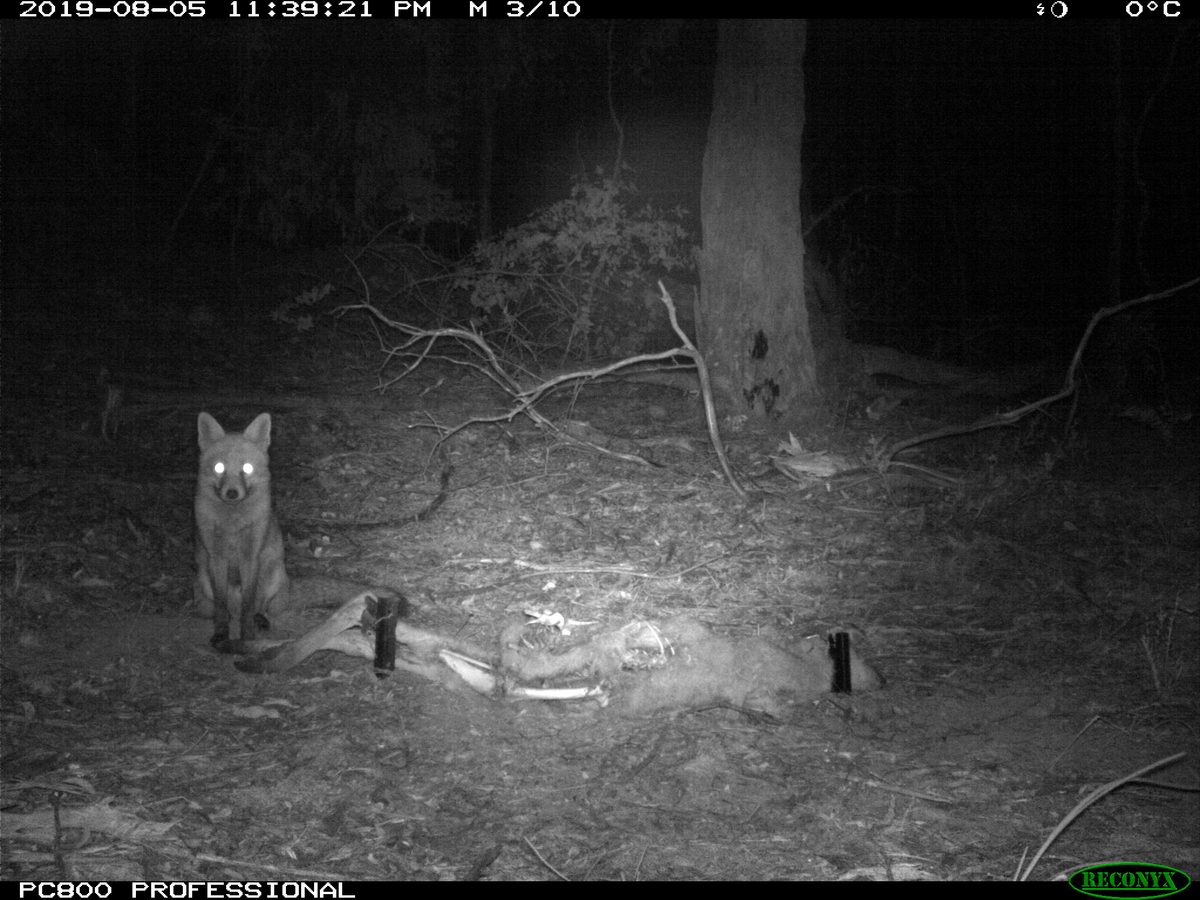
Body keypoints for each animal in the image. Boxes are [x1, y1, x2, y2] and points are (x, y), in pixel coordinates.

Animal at [194, 412, 289, 654]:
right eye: (219, 468)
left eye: (247, 468)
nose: (232, 493)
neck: (233, 526)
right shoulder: (216, 557)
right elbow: (220, 605)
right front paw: (220, 635)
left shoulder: (251, 556)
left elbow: (249, 603)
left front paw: (247, 637)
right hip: (204, 578)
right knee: (227, 609)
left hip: (273, 573)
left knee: (260, 605)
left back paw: (260, 619)